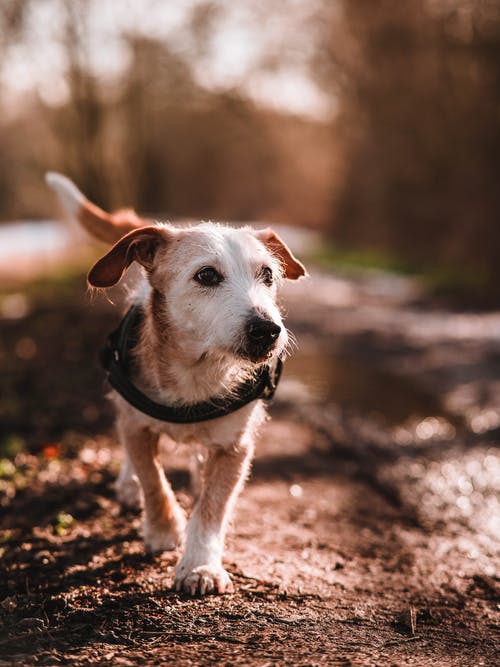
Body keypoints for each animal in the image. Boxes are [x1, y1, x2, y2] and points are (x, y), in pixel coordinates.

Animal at [47, 171, 306, 596]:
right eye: (207, 275)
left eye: (267, 274)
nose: (268, 330)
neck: (197, 372)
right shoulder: (137, 426)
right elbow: (153, 479)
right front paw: (164, 530)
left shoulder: (235, 447)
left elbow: (213, 507)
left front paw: (200, 565)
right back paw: (129, 485)